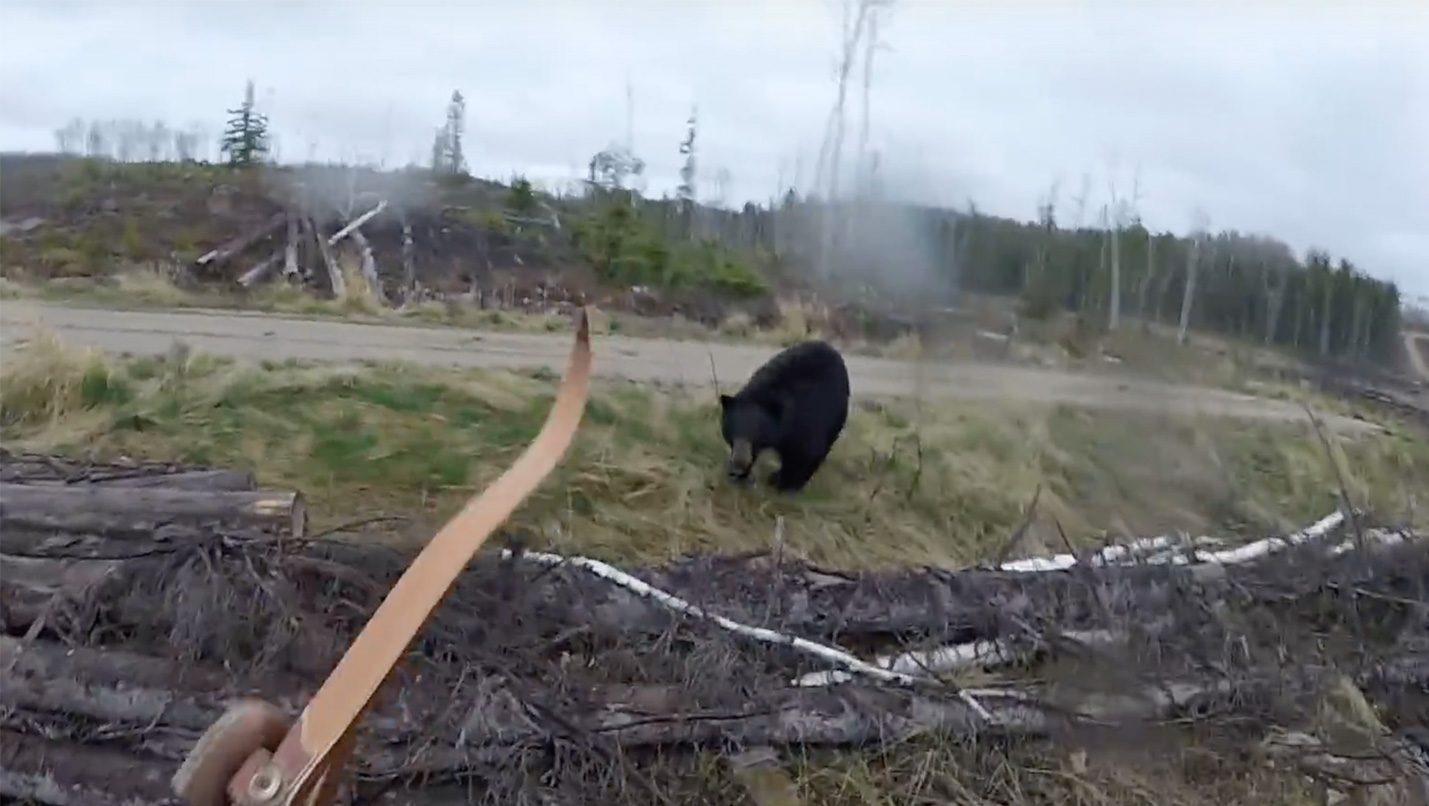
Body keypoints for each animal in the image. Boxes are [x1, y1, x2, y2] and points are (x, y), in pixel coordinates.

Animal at [719, 339, 850, 492]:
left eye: (756, 434)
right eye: (732, 431)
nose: (738, 467)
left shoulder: (808, 415)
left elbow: (806, 452)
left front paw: (785, 485)